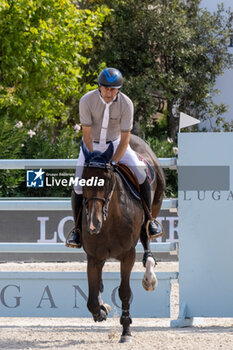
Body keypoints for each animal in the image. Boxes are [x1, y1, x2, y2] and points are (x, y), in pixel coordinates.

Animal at [79, 135, 165, 344]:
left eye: (107, 179)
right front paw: (101, 310)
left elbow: (124, 293)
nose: (93, 224)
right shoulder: (94, 257)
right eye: (84, 178)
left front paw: (126, 331)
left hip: (154, 206)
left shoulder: (128, 255)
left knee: (146, 235)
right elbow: (91, 299)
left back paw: (149, 275)